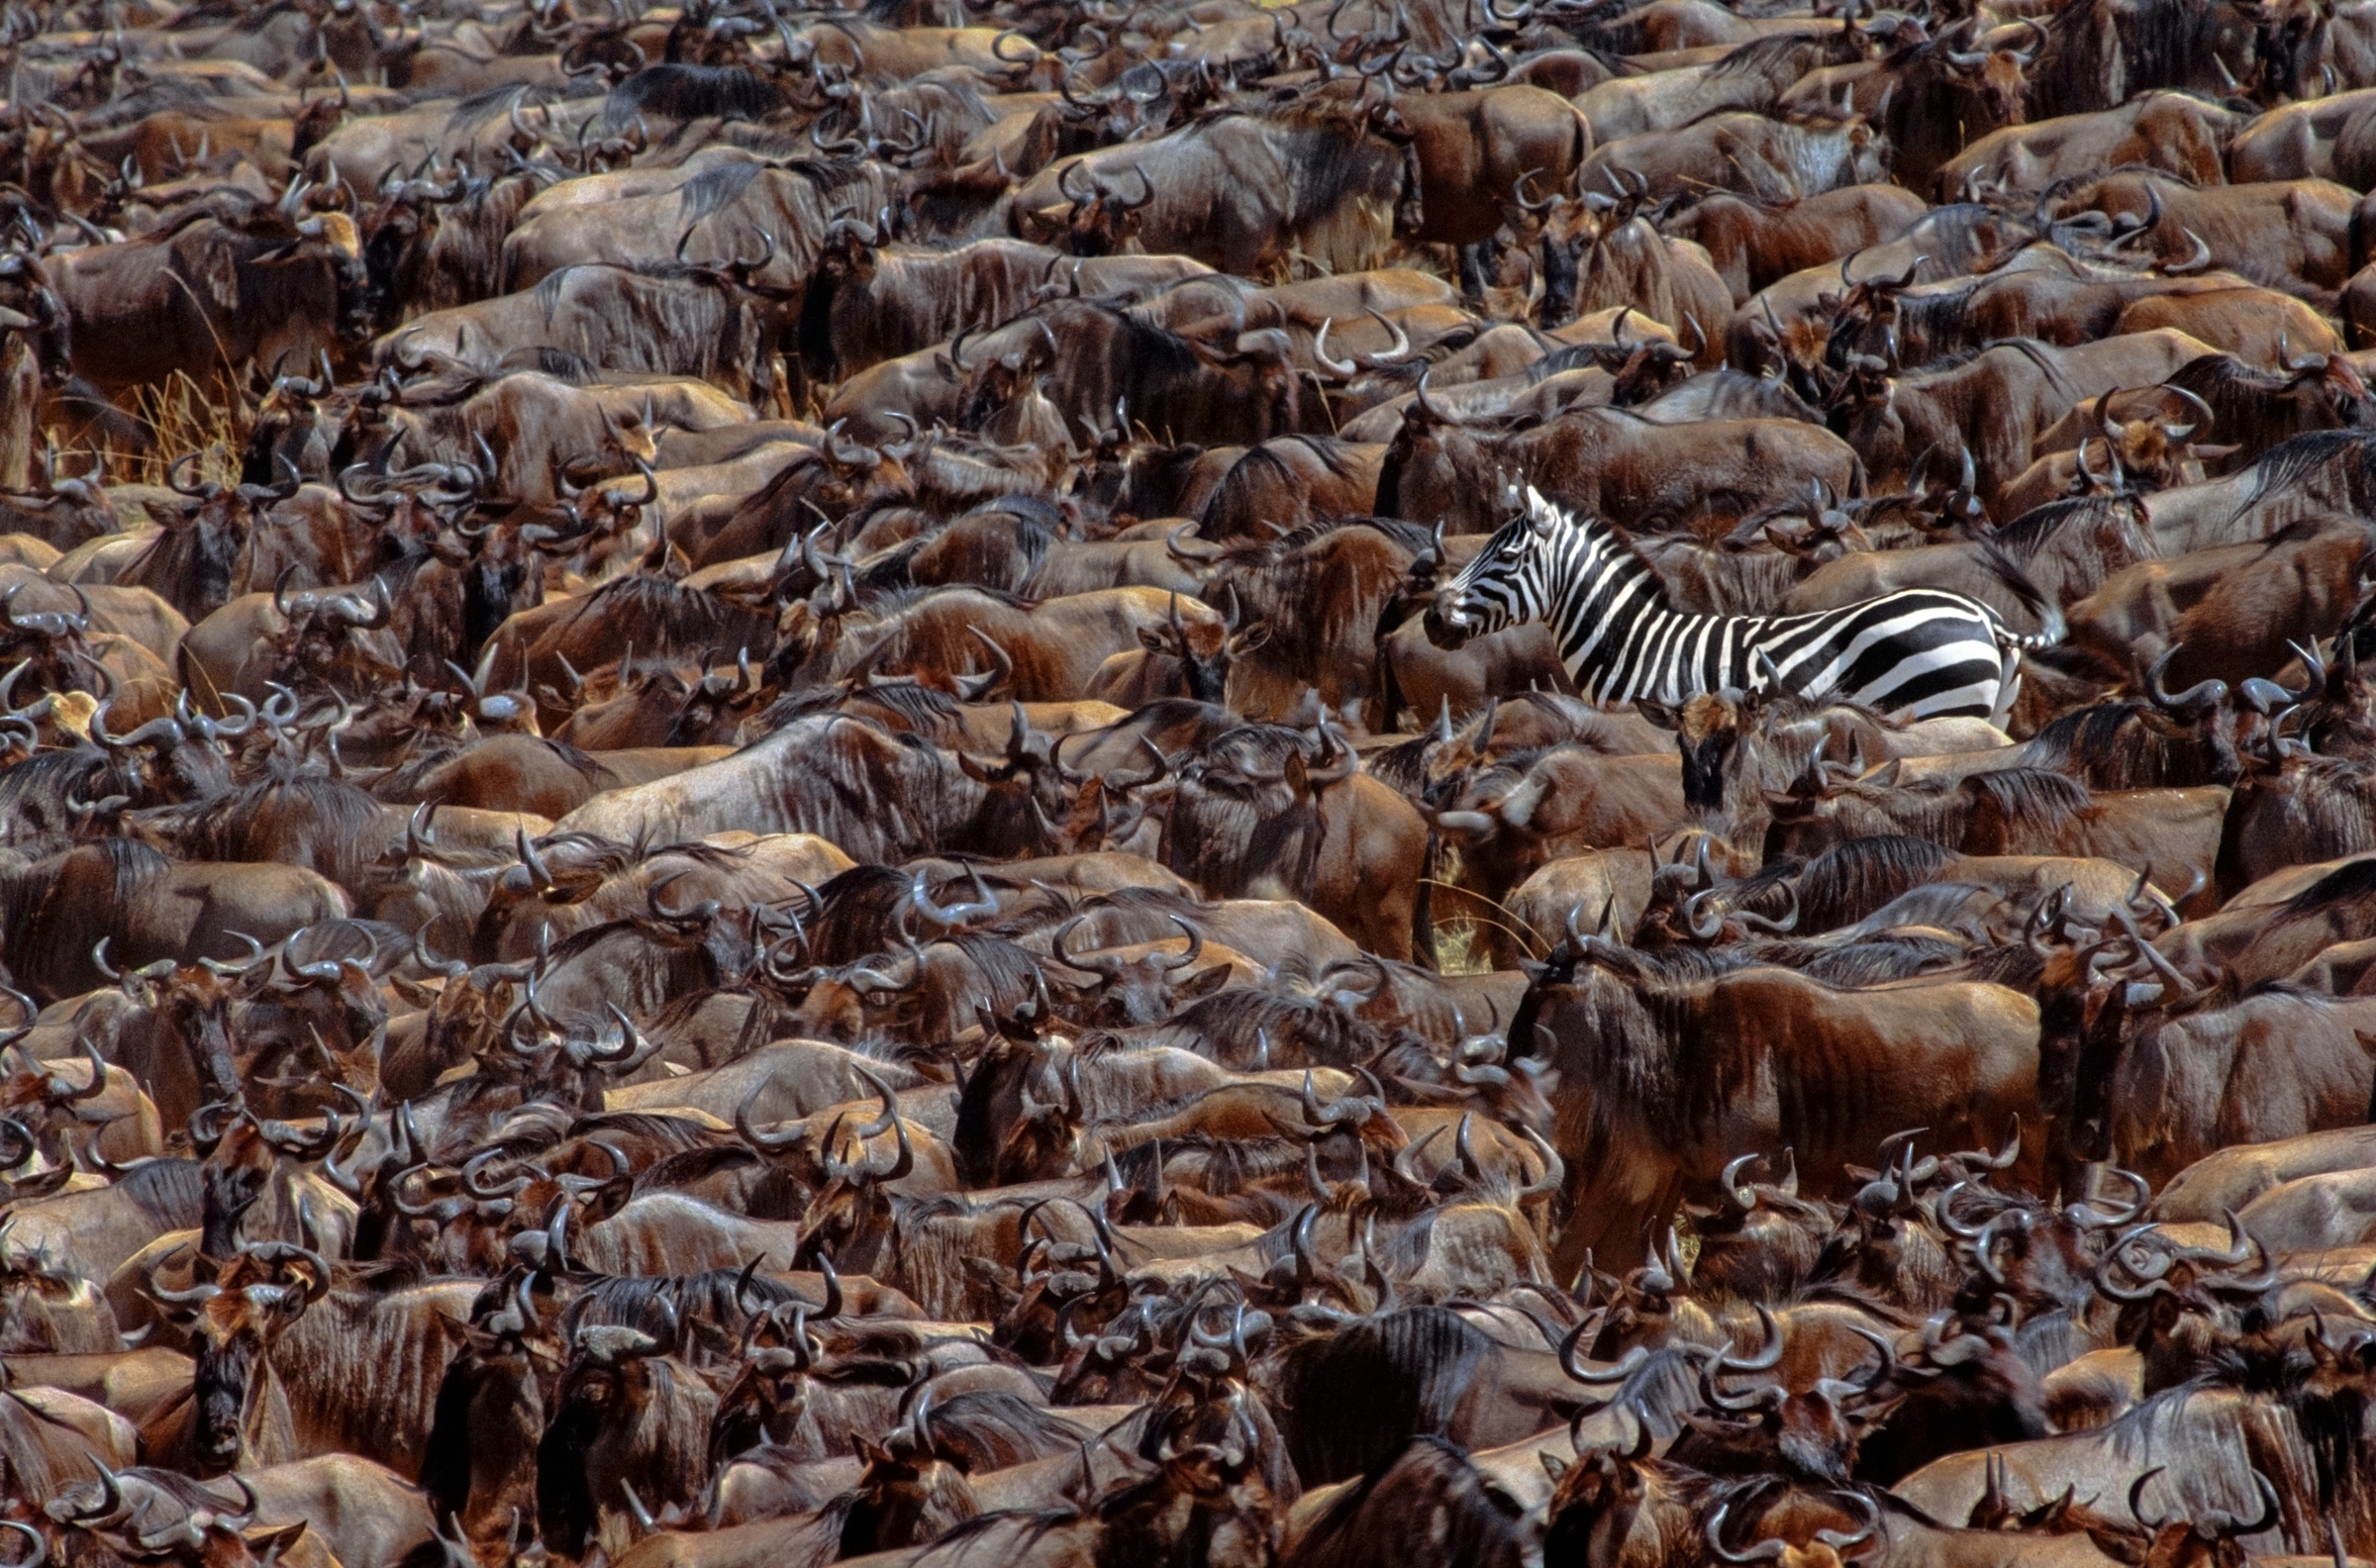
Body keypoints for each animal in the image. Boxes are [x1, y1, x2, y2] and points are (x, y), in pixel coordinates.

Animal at [1426, 487, 2062, 727]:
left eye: (1506, 558)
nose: (1431, 618)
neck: (1635, 643)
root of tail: (1987, 620)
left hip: (1941, 705)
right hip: (1992, 712)